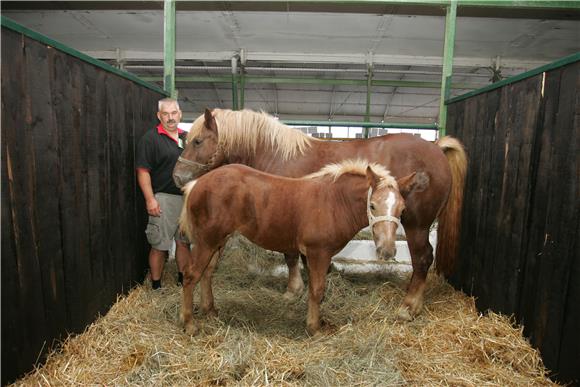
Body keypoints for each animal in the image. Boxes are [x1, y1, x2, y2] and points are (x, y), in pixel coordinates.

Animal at [178, 159, 422, 334]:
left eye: (402, 209)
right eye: (372, 205)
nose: (387, 251)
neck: (334, 202)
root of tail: (196, 183)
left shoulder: (312, 256)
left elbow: (315, 290)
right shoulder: (318, 253)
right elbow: (317, 289)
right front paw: (314, 328)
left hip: (219, 241)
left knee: (207, 273)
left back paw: (210, 311)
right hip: (207, 241)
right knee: (191, 275)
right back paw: (190, 323)